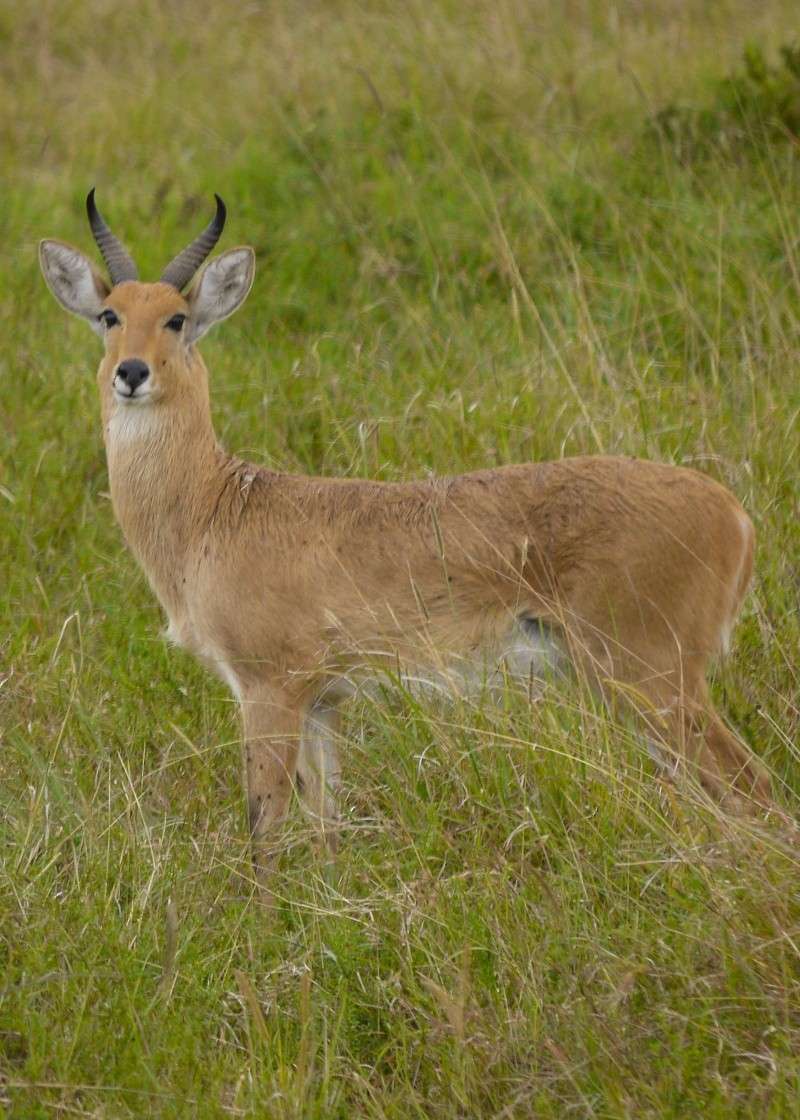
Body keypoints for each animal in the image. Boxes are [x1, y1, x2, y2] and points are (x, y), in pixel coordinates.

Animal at [40, 194, 775, 882]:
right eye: (110, 315)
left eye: (176, 317)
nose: (132, 372)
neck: (215, 509)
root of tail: (736, 517)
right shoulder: (324, 703)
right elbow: (326, 823)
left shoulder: (270, 686)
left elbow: (264, 828)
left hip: (651, 678)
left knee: (753, 786)